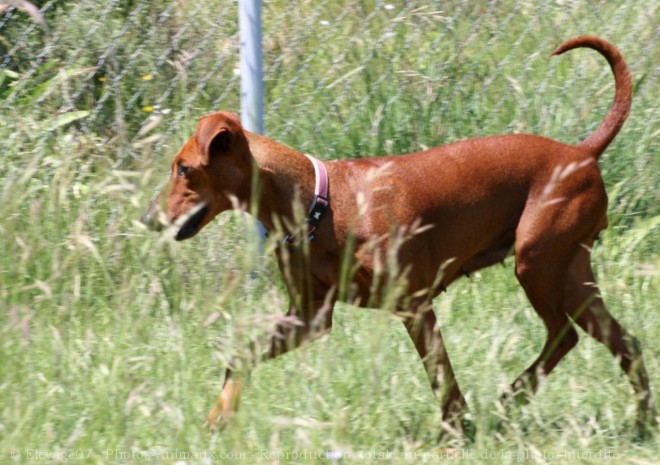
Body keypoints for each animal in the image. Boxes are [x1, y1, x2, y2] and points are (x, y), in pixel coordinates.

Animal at [143, 37, 656, 436]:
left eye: (184, 169)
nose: (148, 219)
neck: (322, 205)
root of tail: (580, 152)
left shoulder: (414, 307)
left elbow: (443, 382)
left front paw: (455, 433)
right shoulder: (309, 318)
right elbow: (238, 358)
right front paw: (219, 416)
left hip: (538, 264)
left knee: (565, 335)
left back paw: (521, 399)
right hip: (570, 275)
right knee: (618, 343)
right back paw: (633, 422)